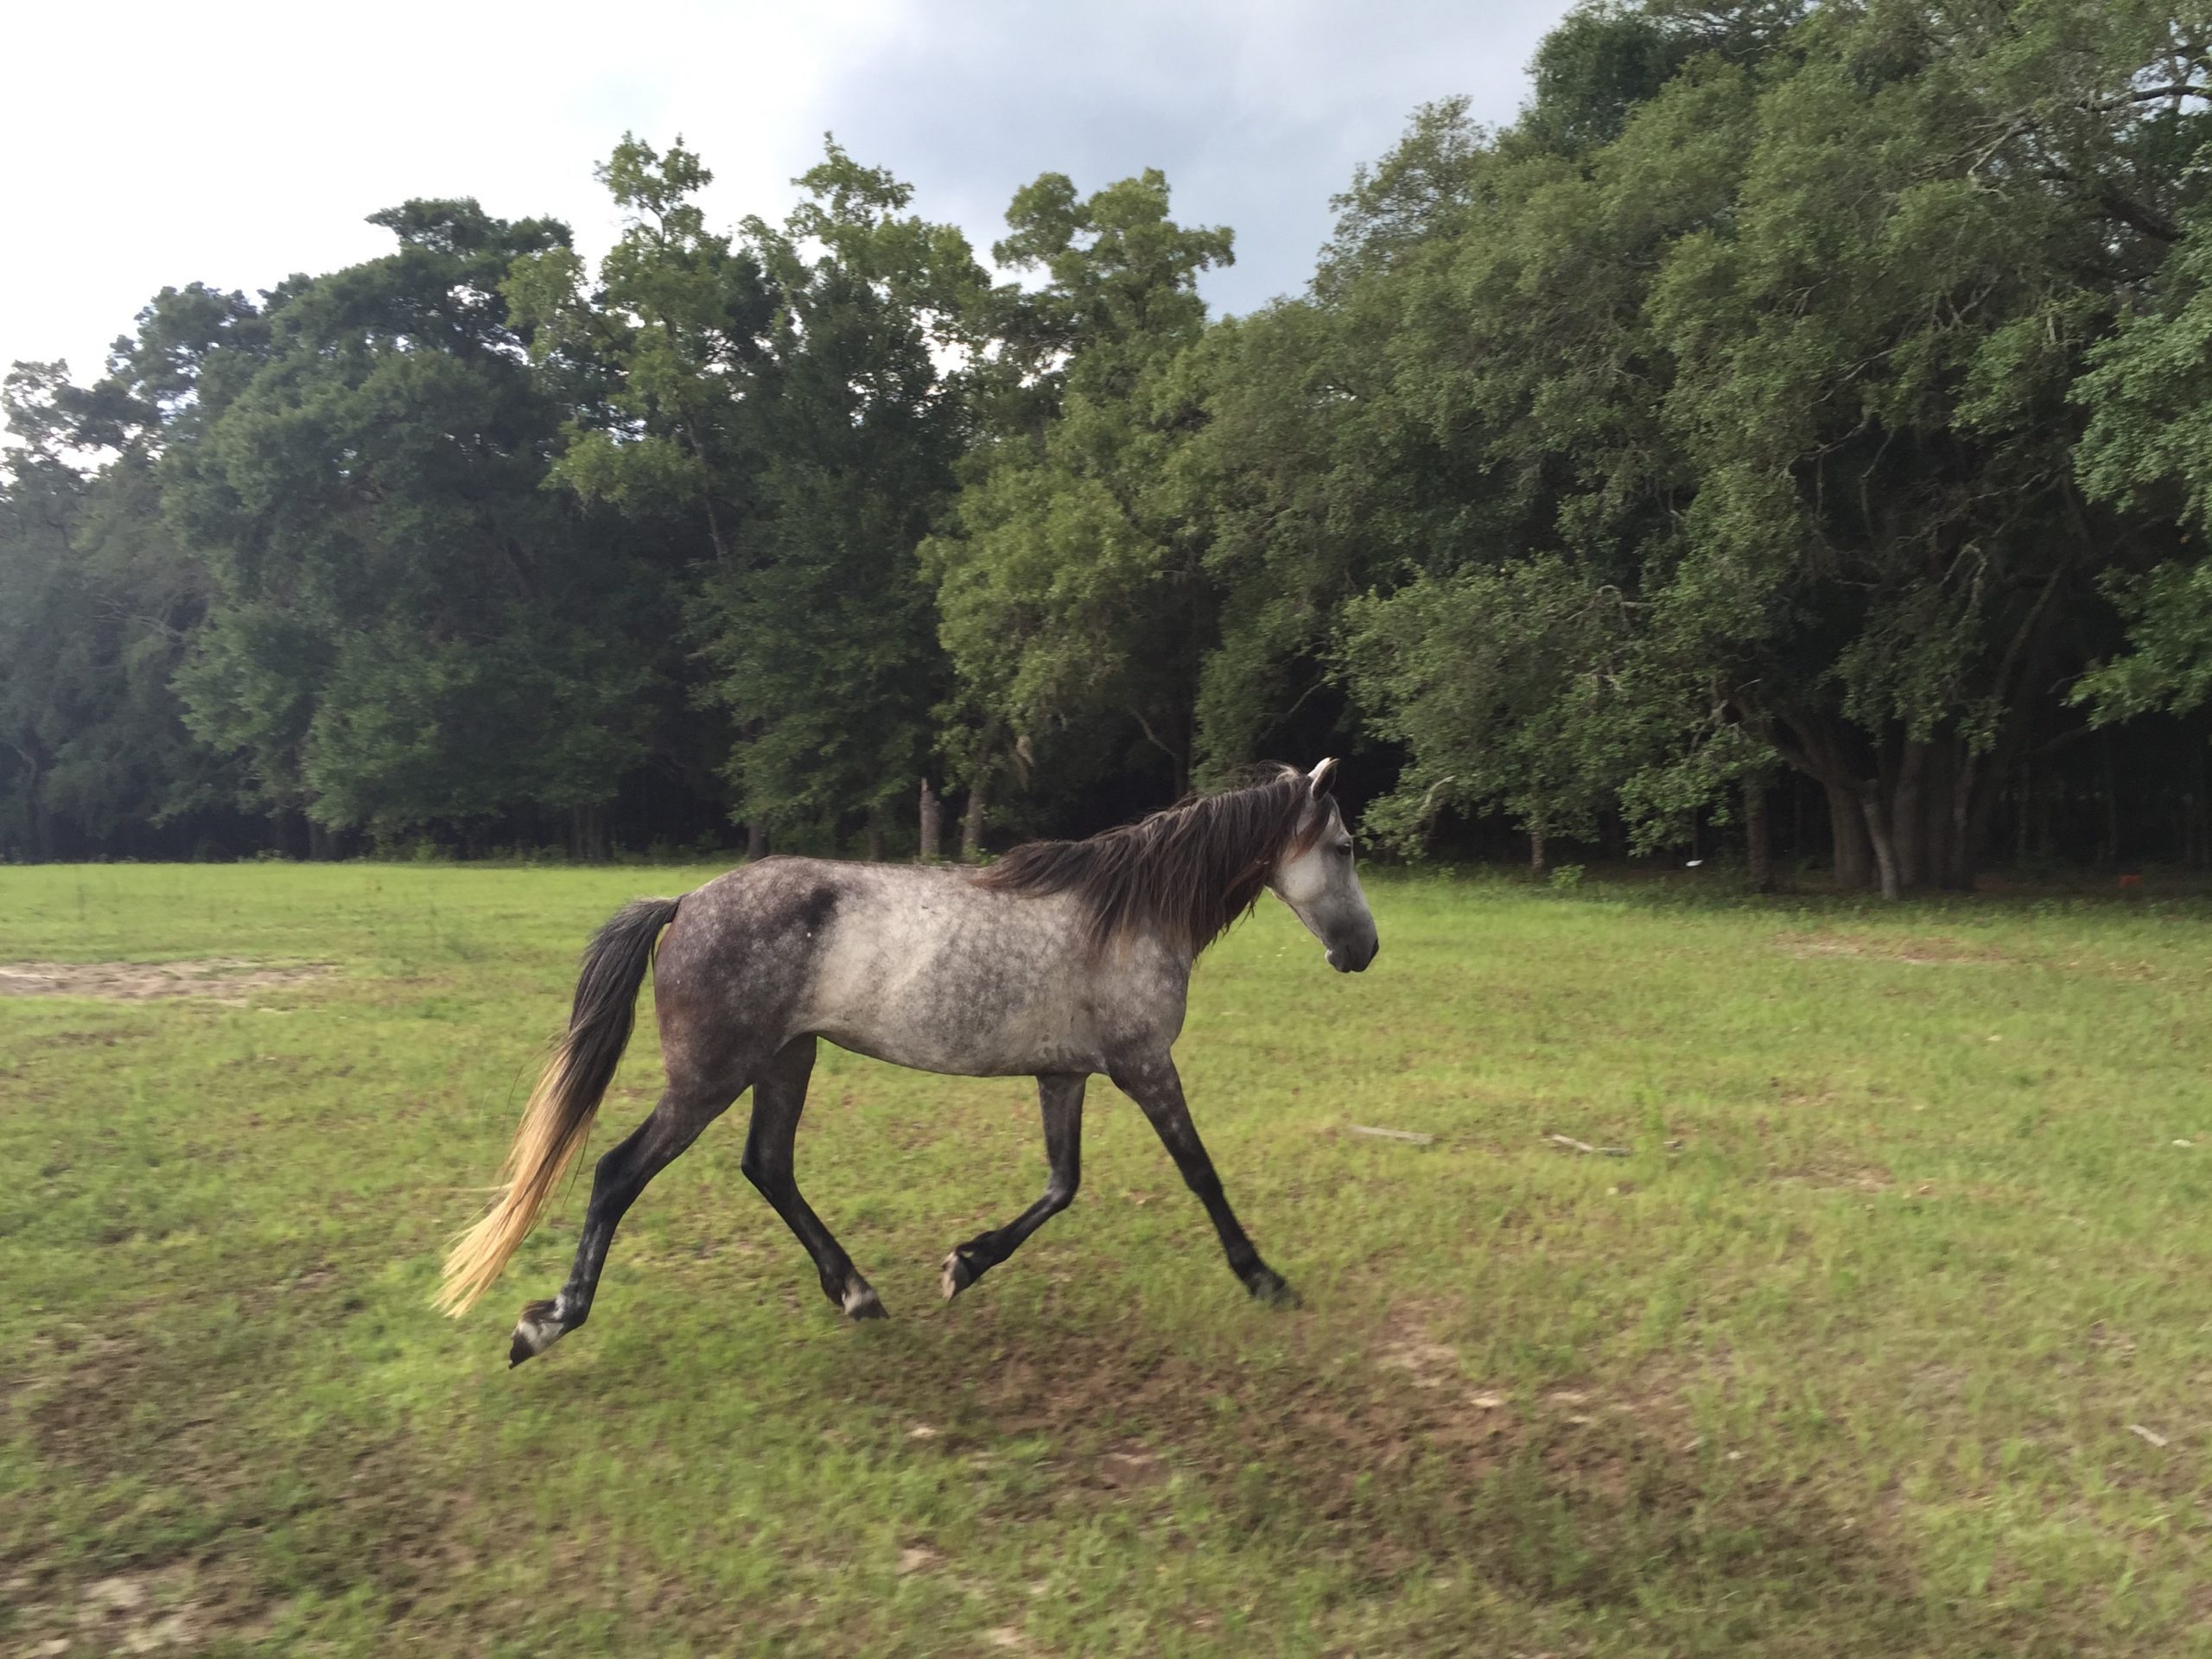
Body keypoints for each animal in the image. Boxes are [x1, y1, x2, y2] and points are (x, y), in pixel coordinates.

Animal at [437, 760, 1371, 1371]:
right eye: (1346, 846)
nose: (1362, 951)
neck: (1130, 913)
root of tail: (686, 902)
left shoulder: (1065, 1075)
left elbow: (1061, 1185)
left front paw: (966, 1263)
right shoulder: (1146, 1066)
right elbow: (1199, 1174)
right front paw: (1265, 1279)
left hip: (787, 1060)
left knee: (767, 1166)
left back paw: (857, 1293)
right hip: (710, 1078)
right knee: (618, 1173)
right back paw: (547, 1323)